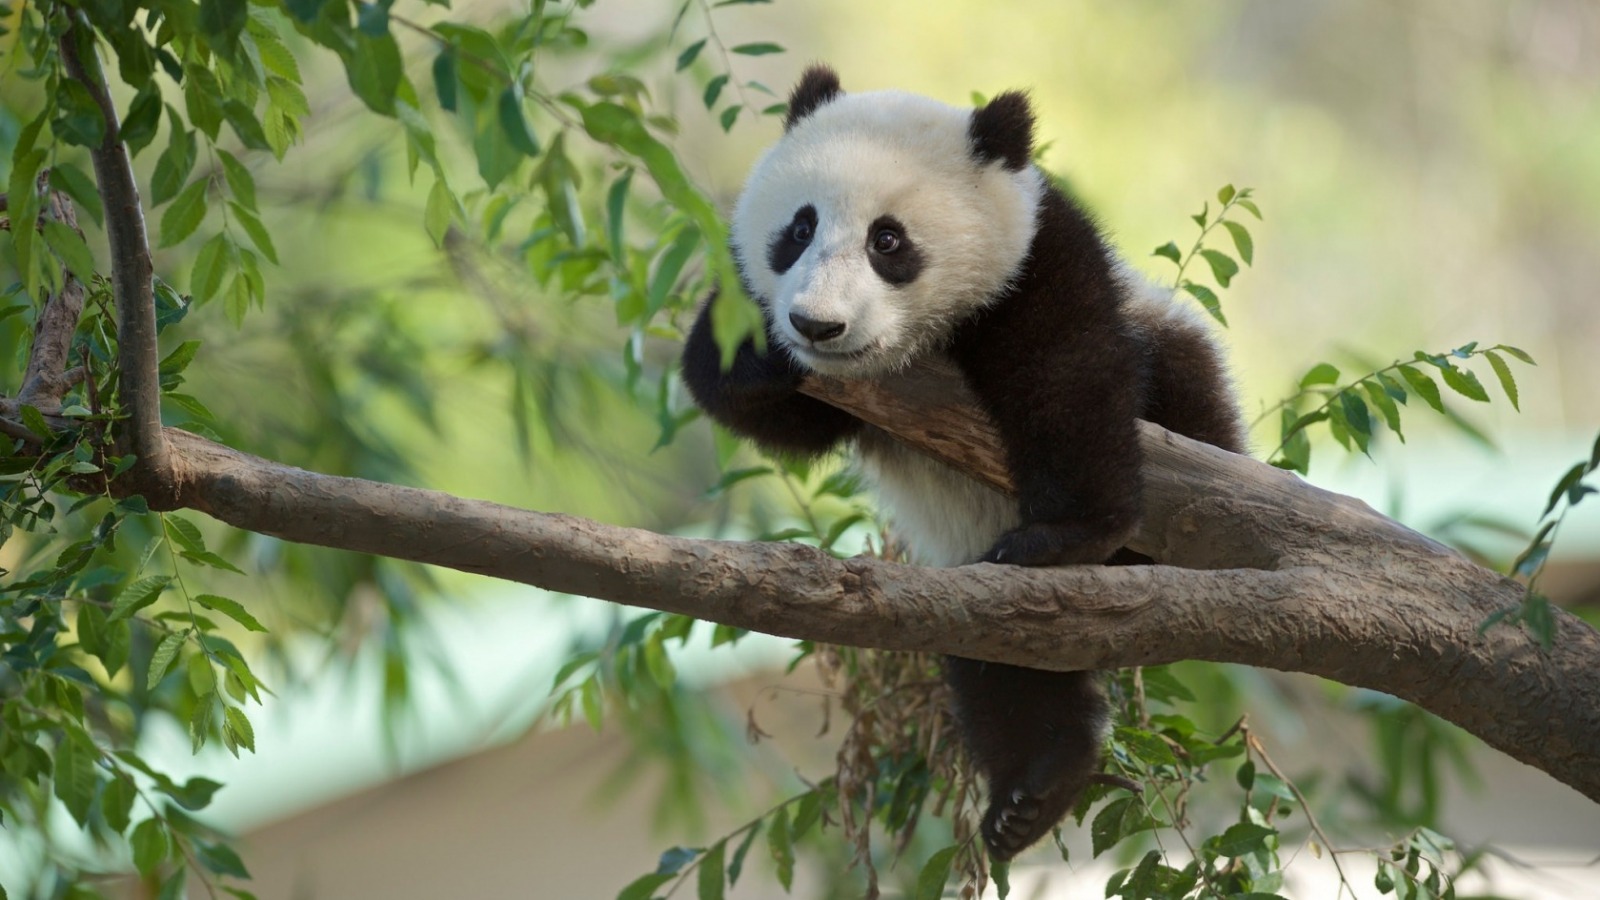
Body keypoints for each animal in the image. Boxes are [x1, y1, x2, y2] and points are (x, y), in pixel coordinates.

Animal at [681, 65, 1245, 860]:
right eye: (799, 228)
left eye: (888, 239)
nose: (817, 324)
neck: (920, 342)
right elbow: (776, 409)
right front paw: (749, 351)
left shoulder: (1039, 259)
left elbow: (1064, 374)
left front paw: (1066, 531)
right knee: (1004, 665)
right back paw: (1035, 787)